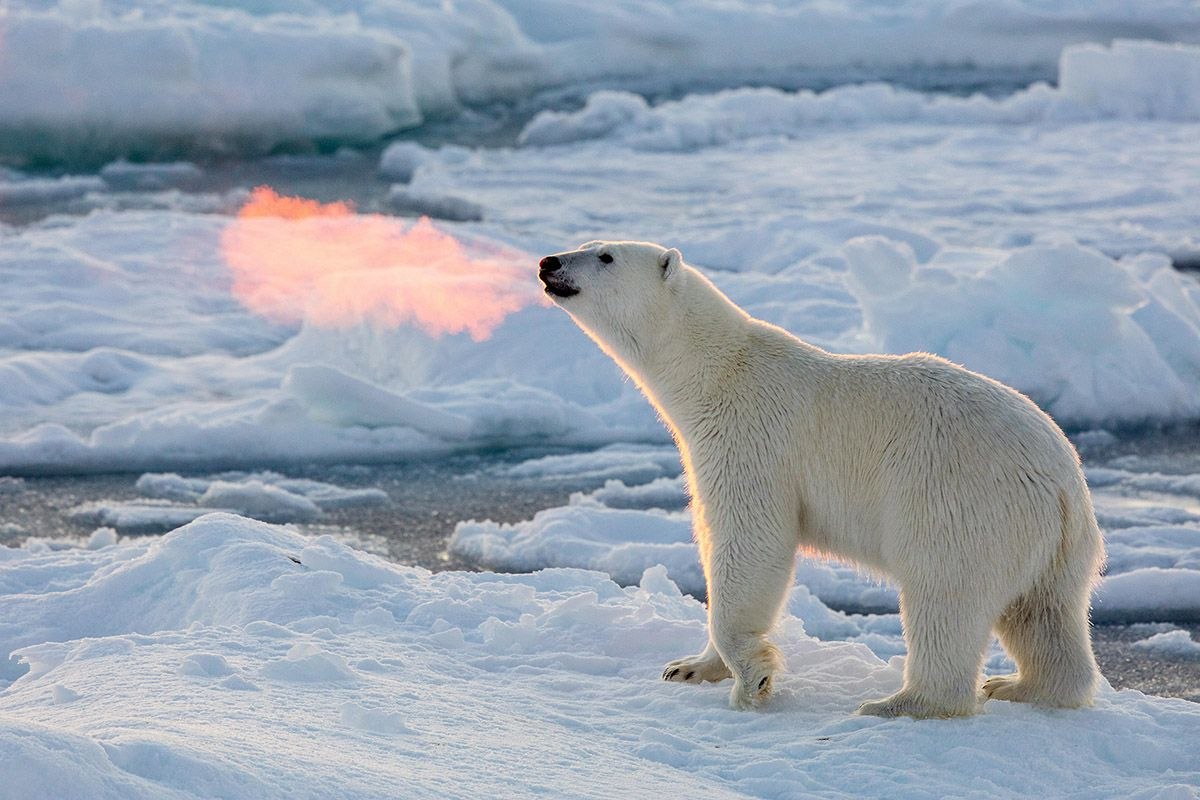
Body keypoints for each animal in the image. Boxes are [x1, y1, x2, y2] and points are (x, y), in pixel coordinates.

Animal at [540, 241, 1099, 714]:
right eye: (586, 242)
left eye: (605, 256)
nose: (548, 262)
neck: (716, 372)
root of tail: (1062, 483)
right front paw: (688, 667)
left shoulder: (750, 438)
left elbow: (751, 541)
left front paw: (752, 680)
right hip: (1051, 545)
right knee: (1043, 614)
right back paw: (1021, 686)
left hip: (961, 501)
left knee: (945, 597)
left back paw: (901, 703)